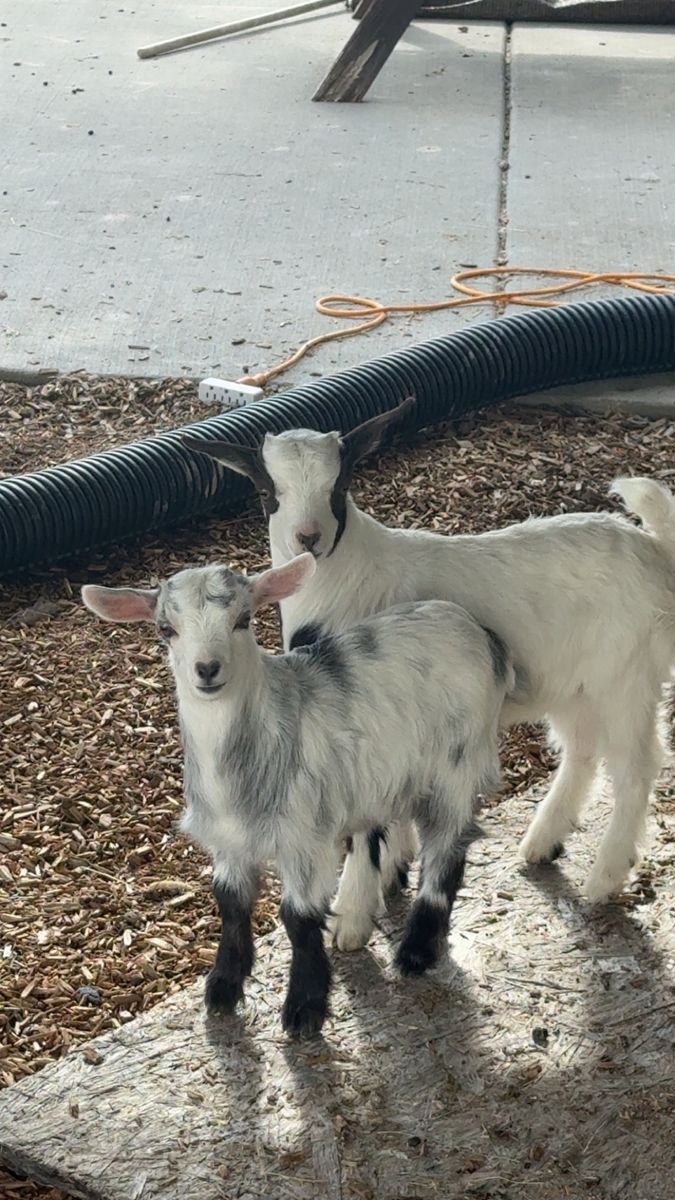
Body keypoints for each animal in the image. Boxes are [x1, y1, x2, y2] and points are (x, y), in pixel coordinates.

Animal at [82, 556, 512, 1036]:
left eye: (243, 619)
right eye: (165, 629)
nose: (207, 669)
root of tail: (480, 632)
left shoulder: (303, 837)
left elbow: (298, 918)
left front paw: (305, 1007)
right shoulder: (229, 840)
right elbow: (230, 905)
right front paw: (223, 988)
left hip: (456, 764)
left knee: (446, 851)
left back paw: (416, 951)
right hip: (391, 768)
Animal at [184, 403, 675, 950]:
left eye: (340, 484)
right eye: (268, 491)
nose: (307, 538)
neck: (347, 579)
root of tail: (656, 551)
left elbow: (368, 819)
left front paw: (352, 916)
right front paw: (394, 868)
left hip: (626, 674)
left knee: (636, 765)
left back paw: (605, 875)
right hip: (576, 683)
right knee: (582, 749)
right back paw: (544, 840)